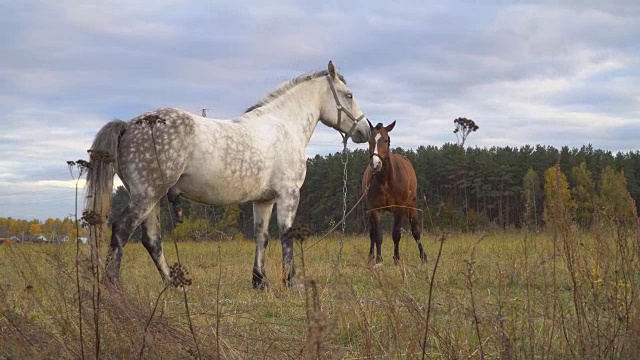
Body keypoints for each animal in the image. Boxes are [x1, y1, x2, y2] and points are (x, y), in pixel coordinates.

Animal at [362, 121, 428, 264]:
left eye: (386, 140)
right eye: (369, 141)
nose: (375, 164)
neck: (386, 180)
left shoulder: (399, 208)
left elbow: (396, 234)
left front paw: (396, 259)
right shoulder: (375, 209)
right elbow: (378, 235)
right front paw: (378, 260)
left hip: (411, 204)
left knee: (415, 231)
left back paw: (423, 257)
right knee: (372, 232)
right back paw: (370, 257)